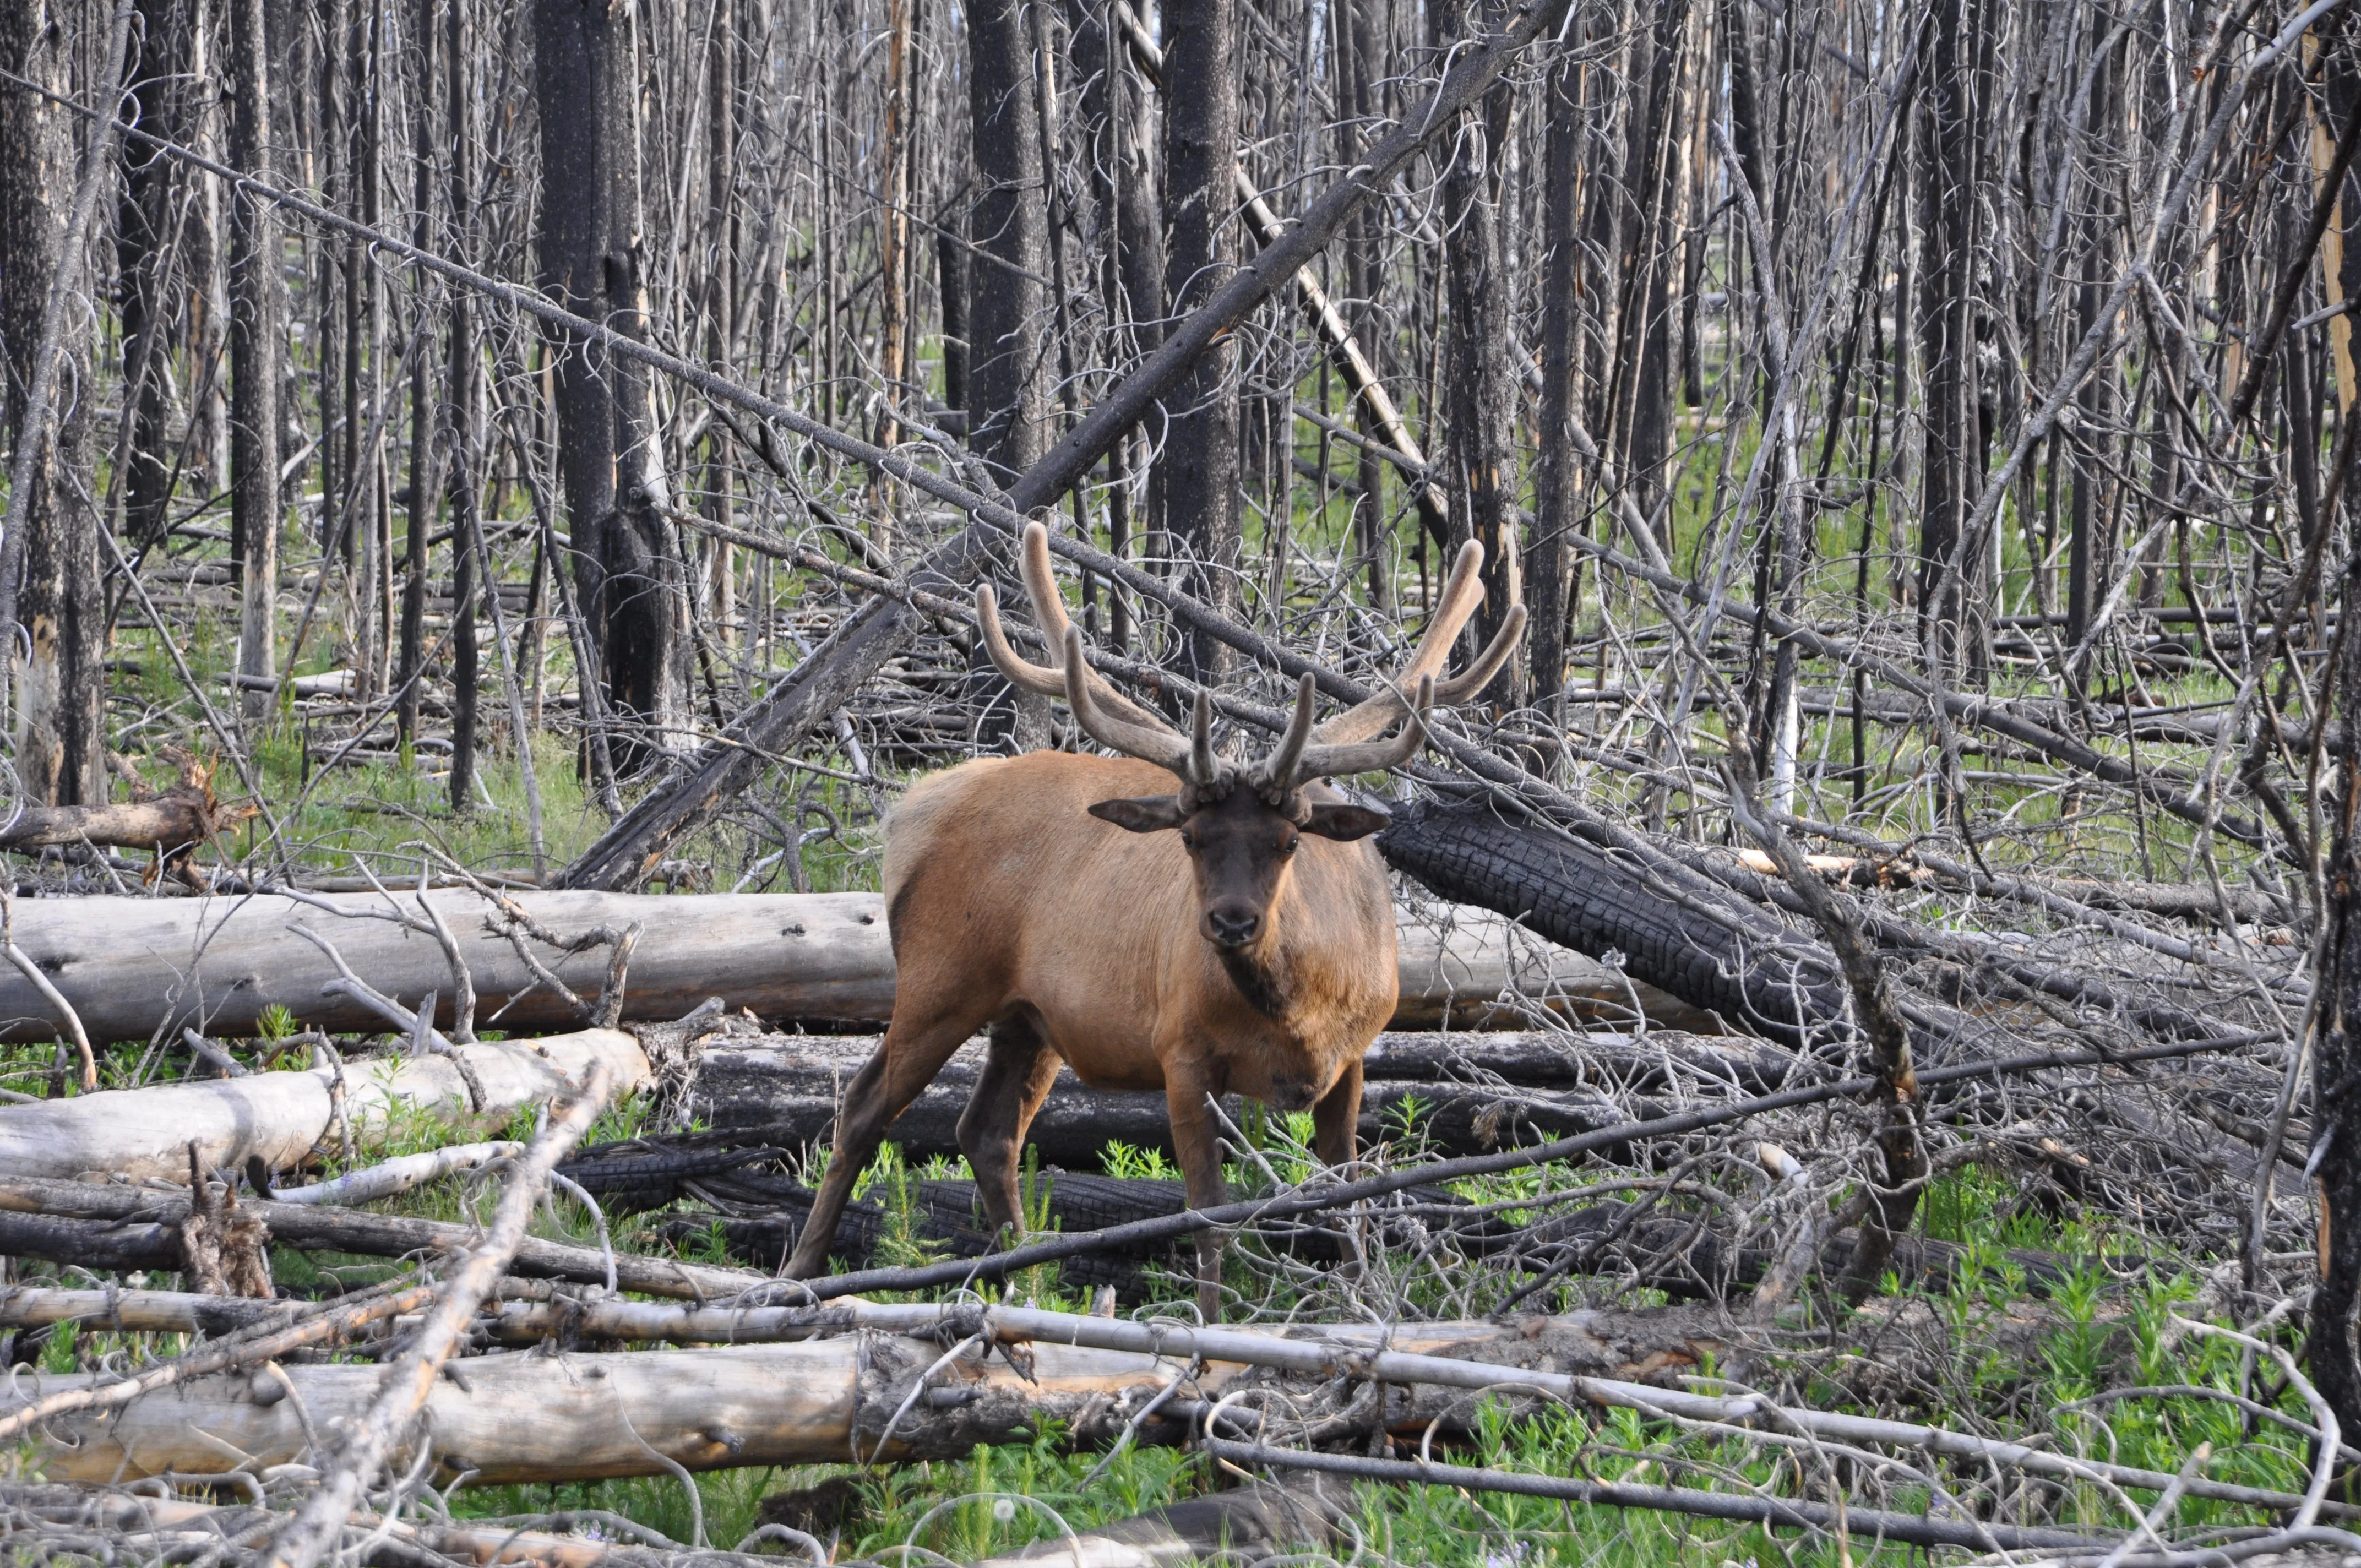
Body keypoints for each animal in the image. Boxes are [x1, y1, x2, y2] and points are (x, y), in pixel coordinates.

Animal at [788, 526, 1530, 1313]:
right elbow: (1206, 1212)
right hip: (940, 978)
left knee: (988, 1130)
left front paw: (1359, 1307)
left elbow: (1345, 1205)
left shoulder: (1354, 1055)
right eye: (1190, 837)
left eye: (1289, 840)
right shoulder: (1182, 1051)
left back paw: (1022, 1279)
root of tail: (909, 811)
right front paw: (1210, 1323)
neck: (1300, 1010)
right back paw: (802, 1269)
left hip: (1029, 1017)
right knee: (864, 1106)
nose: (1230, 922)